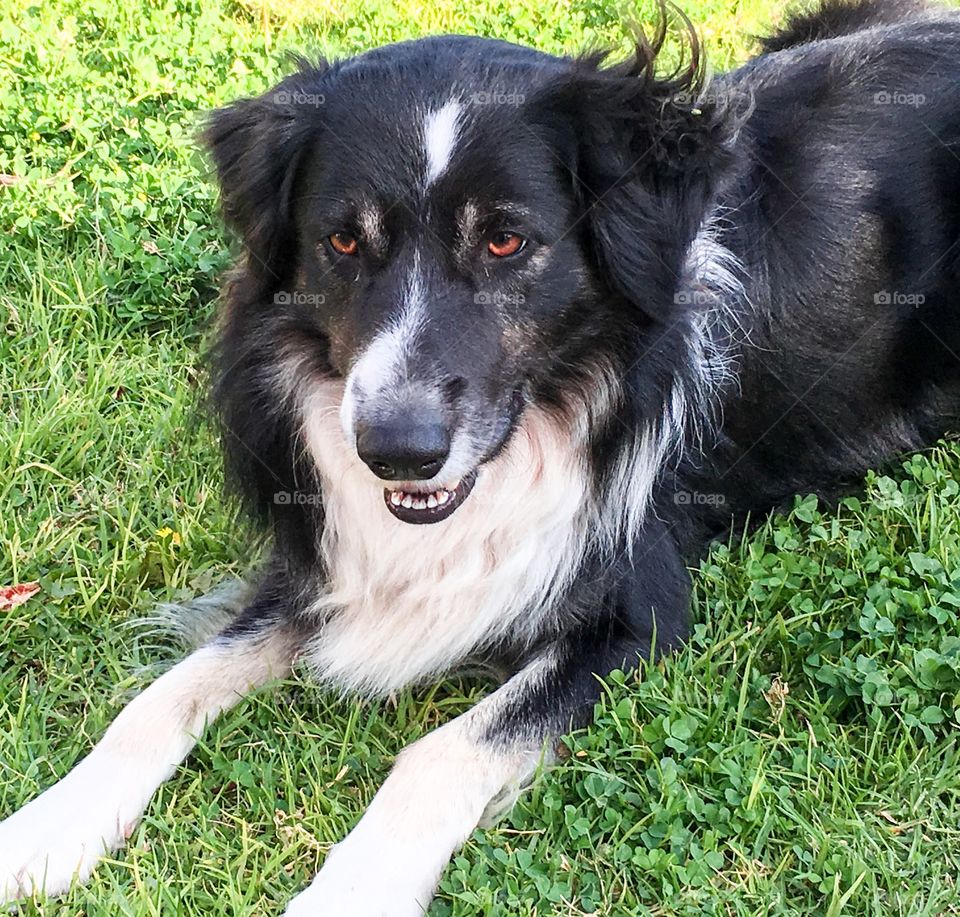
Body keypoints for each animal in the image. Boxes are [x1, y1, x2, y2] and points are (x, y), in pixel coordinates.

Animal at [1, 0, 960, 908]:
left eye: (506, 240)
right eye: (342, 241)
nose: (396, 451)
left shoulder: (637, 613)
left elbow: (442, 749)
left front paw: (353, 889)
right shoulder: (321, 554)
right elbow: (163, 694)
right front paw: (48, 827)